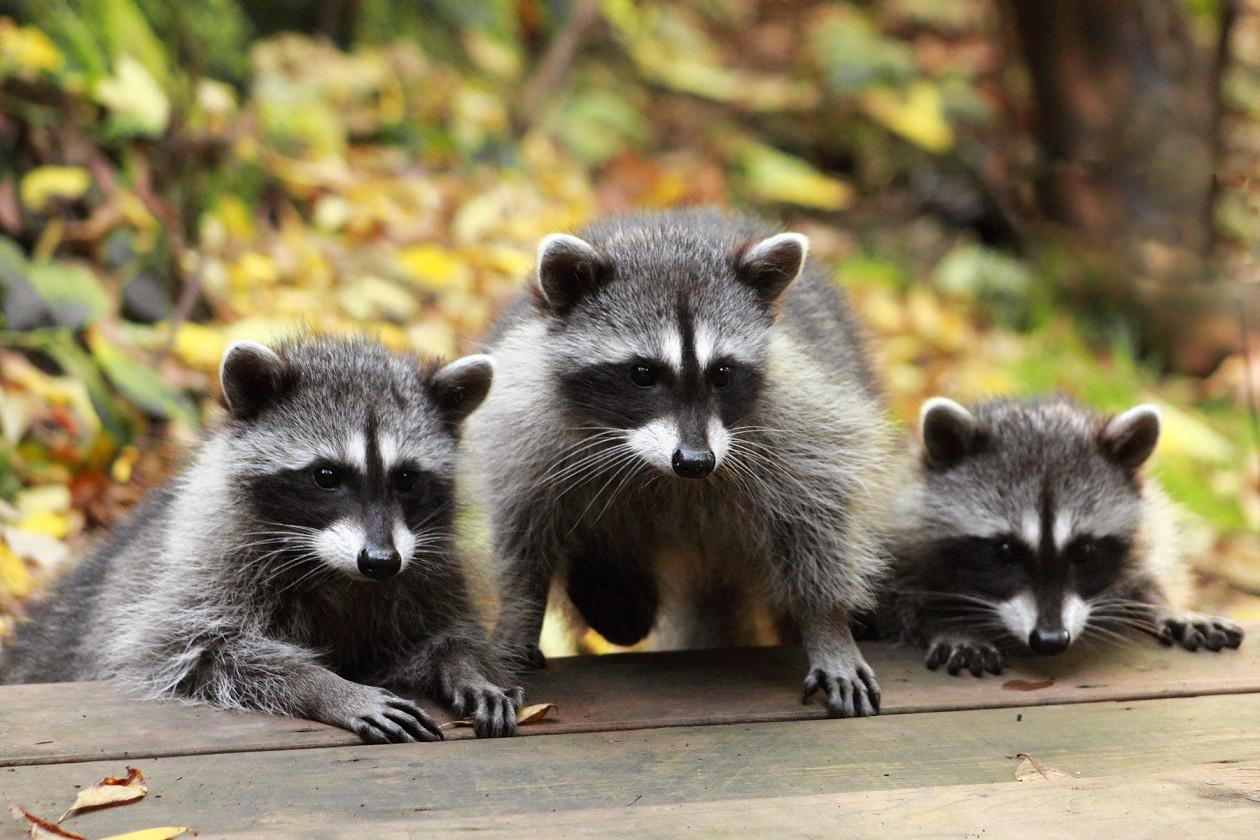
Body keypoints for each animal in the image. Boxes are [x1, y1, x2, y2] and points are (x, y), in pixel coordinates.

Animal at [0, 337, 521, 740]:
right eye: (326, 476)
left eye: (407, 479)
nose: (380, 560)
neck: (338, 572)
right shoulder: (208, 563)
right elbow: (201, 651)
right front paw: (326, 686)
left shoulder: (427, 567)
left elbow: (443, 632)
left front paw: (465, 665)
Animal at [466, 209, 897, 715]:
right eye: (642, 373)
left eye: (723, 373)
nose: (695, 461)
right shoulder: (523, 424)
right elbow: (523, 533)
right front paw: (519, 614)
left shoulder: (802, 420)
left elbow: (818, 517)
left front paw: (827, 624)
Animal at [892, 395, 1244, 675]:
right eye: (1004, 551)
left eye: (1084, 551)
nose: (1050, 640)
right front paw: (951, 623)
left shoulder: (1149, 523)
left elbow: (1148, 567)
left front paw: (1165, 604)